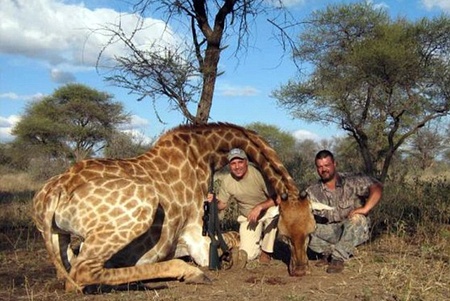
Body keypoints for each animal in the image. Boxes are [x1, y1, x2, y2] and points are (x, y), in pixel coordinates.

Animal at [32, 122, 316, 290]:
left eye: (311, 232)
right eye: (284, 236)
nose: (301, 270)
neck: (204, 153)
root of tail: (53, 192)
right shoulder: (197, 238)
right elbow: (234, 246)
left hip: (58, 234)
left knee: (70, 269)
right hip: (144, 206)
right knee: (82, 272)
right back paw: (190, 274)